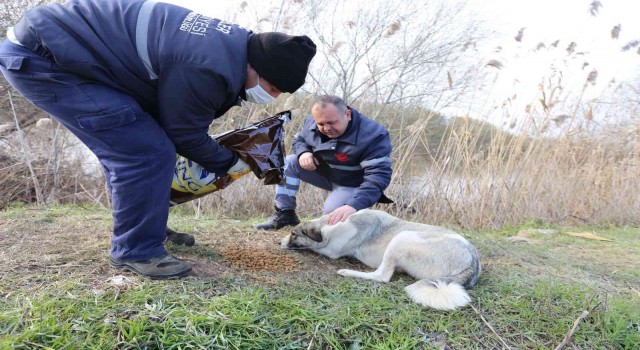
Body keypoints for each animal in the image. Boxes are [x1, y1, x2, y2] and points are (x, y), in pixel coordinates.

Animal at [280, 209, 480, 310]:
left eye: (293, 234)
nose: (278, 241)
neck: (329, 225)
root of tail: (473, 262)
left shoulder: (331, 250)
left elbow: (317, 248)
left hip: (402, 238)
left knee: (381, 276)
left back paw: (348, 272)